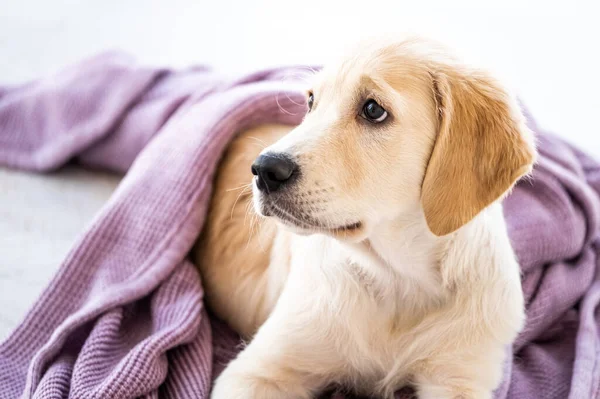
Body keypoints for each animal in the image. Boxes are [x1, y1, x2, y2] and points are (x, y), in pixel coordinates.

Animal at [195, 36, 536, 398]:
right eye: (311, 101)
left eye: (373, 110)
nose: (263, 169)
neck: (399, 279)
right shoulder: (258, 370)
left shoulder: (460, 375)